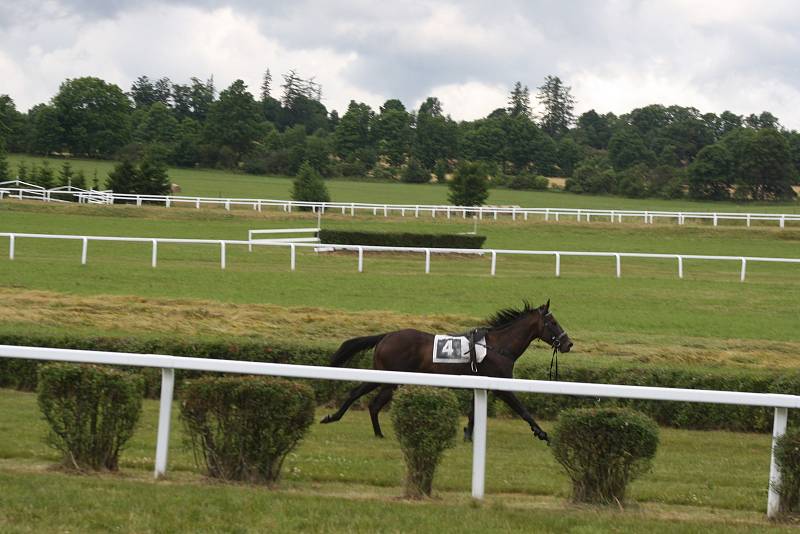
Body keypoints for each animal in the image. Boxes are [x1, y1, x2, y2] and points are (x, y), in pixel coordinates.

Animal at [316, 302, 572, 444]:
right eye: (553, 322)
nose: (568, 344)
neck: (499, 346)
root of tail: (387, 336)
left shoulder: (482, 384)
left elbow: (473, 412)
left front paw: (468, 434)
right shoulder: (501, 386)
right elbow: (523, 410)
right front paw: (542, 433)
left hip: (388, 378)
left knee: (369, 402)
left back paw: (374, 432)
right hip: (388, 376)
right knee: (361, 396)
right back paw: (336, 418)